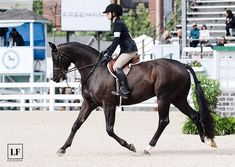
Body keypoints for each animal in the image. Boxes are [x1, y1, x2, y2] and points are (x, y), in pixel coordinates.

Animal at [48, 41, 216, 155]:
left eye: (57, 57)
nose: (55, 78)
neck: (94, 70)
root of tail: (182, 65)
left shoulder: (108, 105)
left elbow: (109, 130)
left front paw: (129, 146)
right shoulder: (89, 103)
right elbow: (76, 124)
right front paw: (63, 148)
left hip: (164, 98)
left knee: (164, 121)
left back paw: (148, 148)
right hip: (178, 99)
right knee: (194, 115)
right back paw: (208, 140)